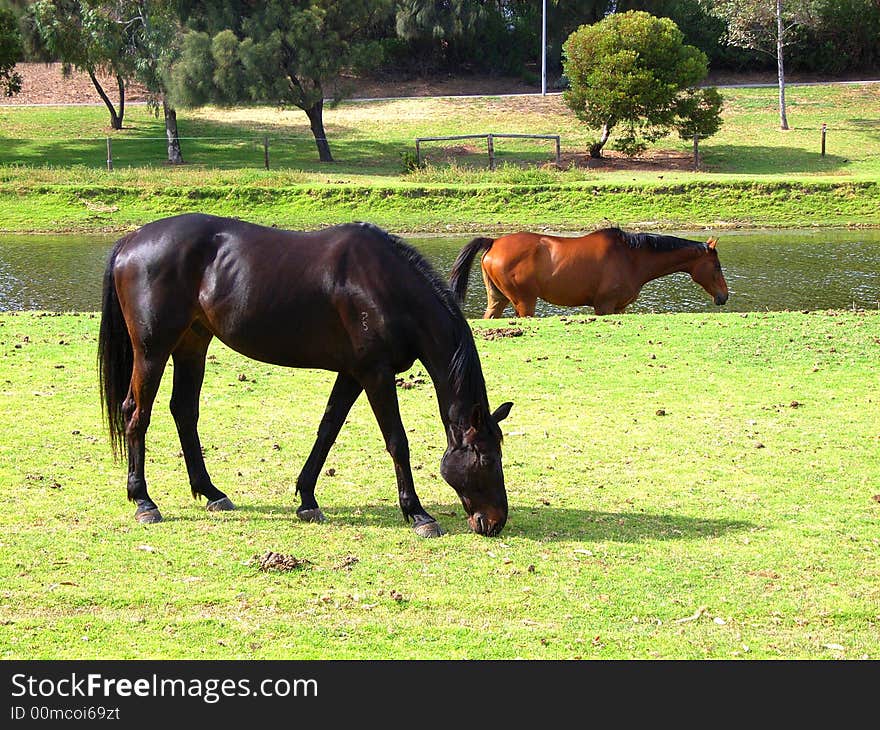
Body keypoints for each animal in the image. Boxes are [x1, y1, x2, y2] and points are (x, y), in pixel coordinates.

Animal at [97, 212, 512, 536]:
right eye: (487, 459)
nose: (496, 522)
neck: (385, 286)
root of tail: (131, 240)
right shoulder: (375, 374)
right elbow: (397, 441)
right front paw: (418, 513)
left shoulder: (352, 373)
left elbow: (327, 430)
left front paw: (308, 499)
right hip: (152, 350)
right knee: (136, 413)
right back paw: (144, 502)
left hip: (192, 343)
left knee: (184, 411)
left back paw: (212, 493)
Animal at [450, 226, 732, 318]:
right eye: (717, 266)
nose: (724, 296)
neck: (631, 257)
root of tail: (494, 242)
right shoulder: (604, 306)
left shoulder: (619, 308)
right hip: (524, 302)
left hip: (498, 299)